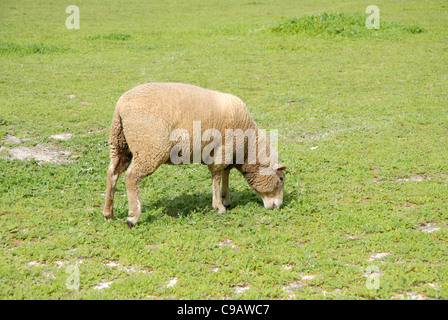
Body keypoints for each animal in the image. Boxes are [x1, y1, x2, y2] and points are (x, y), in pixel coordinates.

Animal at [102, 82, 288, 228]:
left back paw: (108, 213)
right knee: (131, 177)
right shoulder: (223, 151)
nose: (279, 206)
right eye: (280, 179)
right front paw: (219, 207)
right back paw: (132, 217)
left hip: (119, 142)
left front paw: (226, 199)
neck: (248, 148)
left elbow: (226, 174)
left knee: (113, 172)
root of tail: (121, 106)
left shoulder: (228, 154)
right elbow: (217, 176)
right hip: (149, 149)